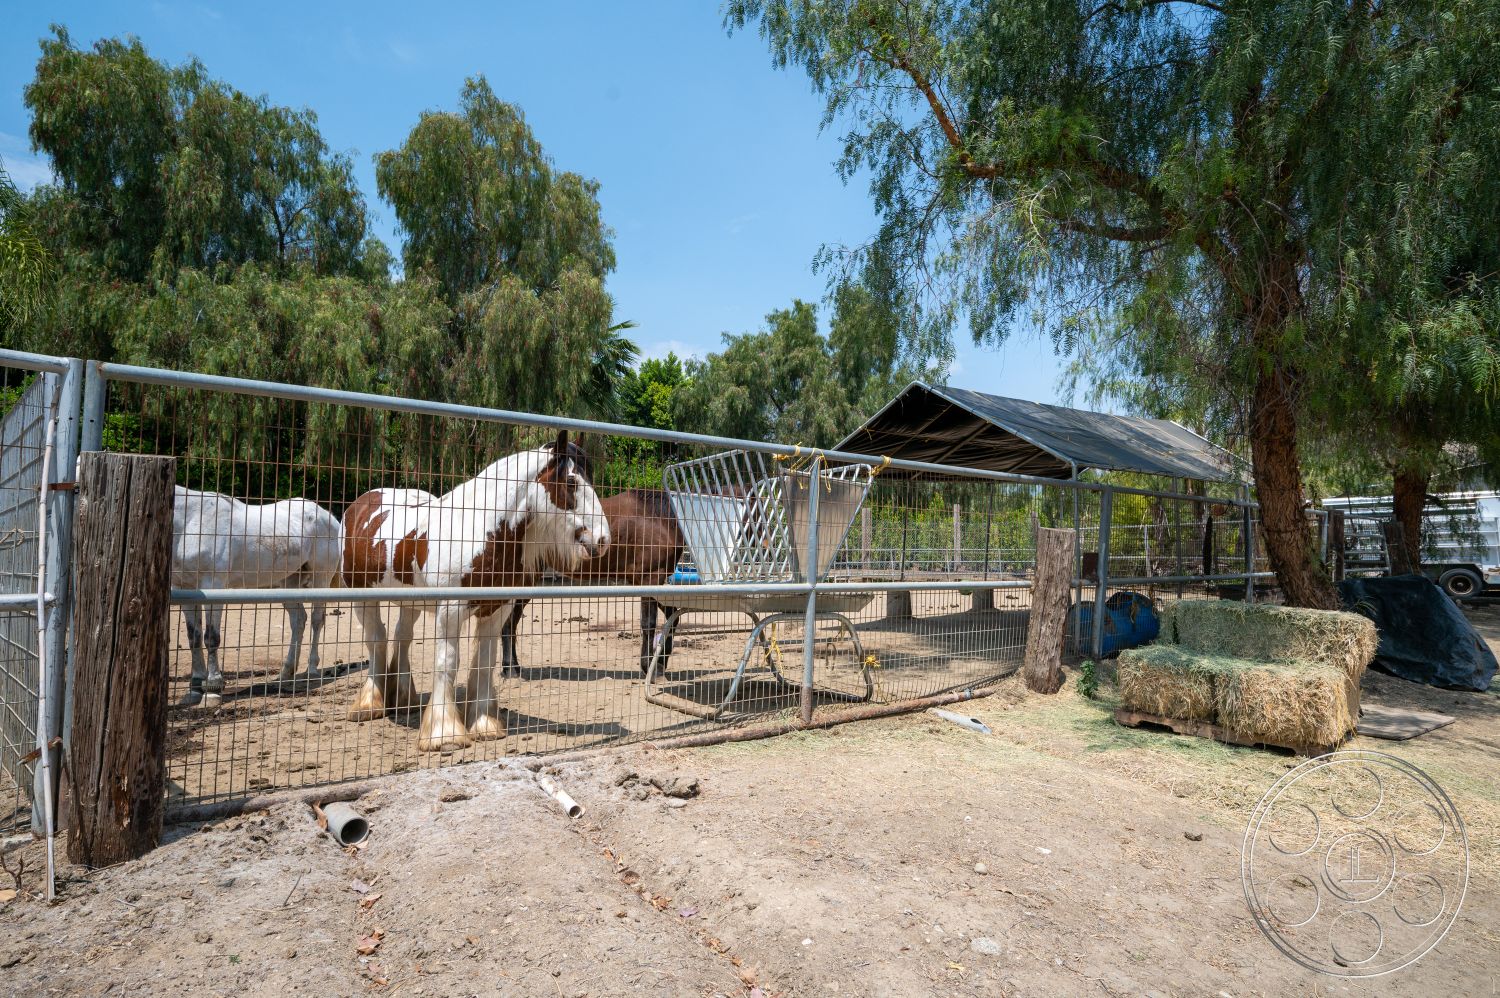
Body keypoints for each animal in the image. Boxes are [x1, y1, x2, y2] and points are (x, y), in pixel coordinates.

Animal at [170, 487, 342, 703]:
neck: (192, 520)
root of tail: (328, 516)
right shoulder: (184, 588)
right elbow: (194, 637)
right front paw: (195, 686)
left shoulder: (213, 585)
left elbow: (211, 637)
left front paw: (213, 686)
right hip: (288, 582)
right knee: (298, 620)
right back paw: (286, 672)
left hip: (321, 577)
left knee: (316, 619)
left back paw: (311, 669)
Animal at [339, 431, 610, 752]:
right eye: (571, 481)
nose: (603, 539)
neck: (476, 531)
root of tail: (361, 503)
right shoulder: (450, 612)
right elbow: (447, 662)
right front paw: (444, 734)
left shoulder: (495, 611)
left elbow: (484, 662)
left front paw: (484, 725)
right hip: (361, 594)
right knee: (376, 639)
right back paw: (369, 704)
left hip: (410, 600)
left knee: (401, 637)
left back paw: (404, 700)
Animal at [500, 487, 685, 678]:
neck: (658, 518)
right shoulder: (651, 577)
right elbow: (649, 624)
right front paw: (650, 667)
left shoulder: (645, 582)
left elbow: (672, 618)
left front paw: (660, 664)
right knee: (509, 622)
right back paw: (510, 670)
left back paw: (512, 667)